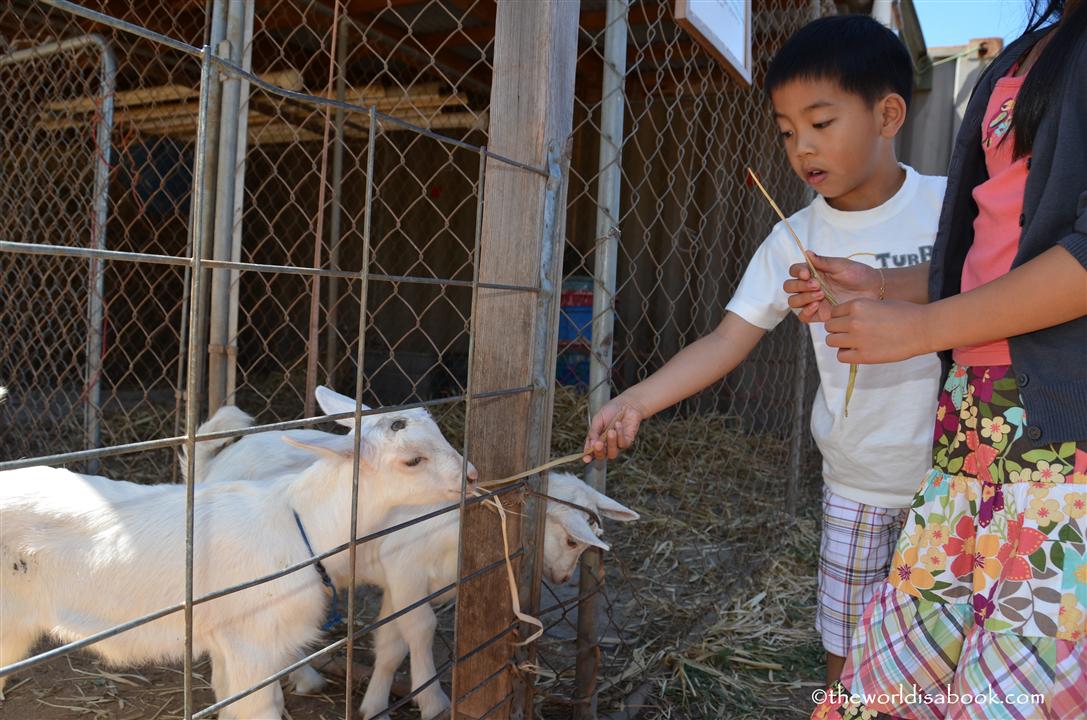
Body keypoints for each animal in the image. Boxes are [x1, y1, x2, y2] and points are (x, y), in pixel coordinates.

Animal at [1, 408, 476, 717]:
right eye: (412, 460)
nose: (471, 476)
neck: (298, 524)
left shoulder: (230, 640)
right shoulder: (253, 641)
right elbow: (259, 707)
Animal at [192, 389, 639, 720]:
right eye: (572, 541)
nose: (563, 580)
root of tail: (214, 464)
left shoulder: (399, 583)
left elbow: (391, 643)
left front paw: (375, 705)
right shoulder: (405, 568)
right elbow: (420, 629)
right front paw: (433, 701)